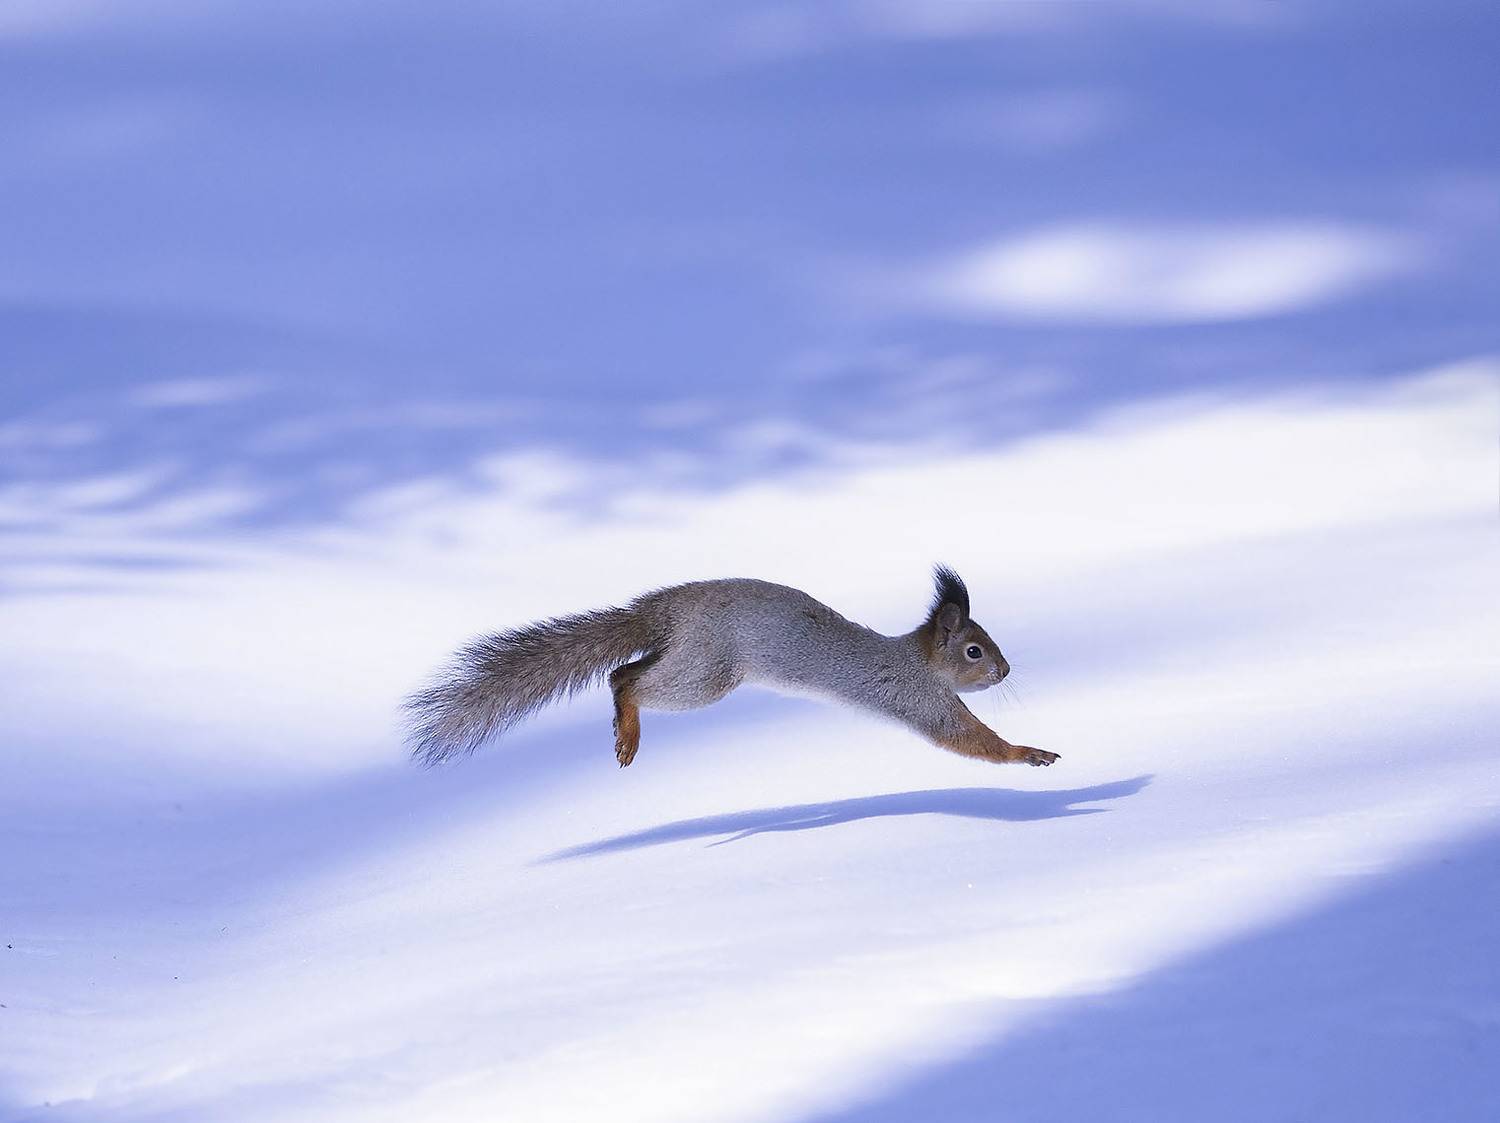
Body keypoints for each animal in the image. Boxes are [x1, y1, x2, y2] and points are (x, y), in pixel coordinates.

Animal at [405, 565, 1058, 770]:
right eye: (974, 651)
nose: (1004, 672)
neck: (917, 659)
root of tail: (666, 610)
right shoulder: (919, 698)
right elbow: (969, 740)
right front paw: (1029, 753)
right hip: (706, 673)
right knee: (624, 678)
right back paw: (627, 733)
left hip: (690, 656)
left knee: (628, 670)